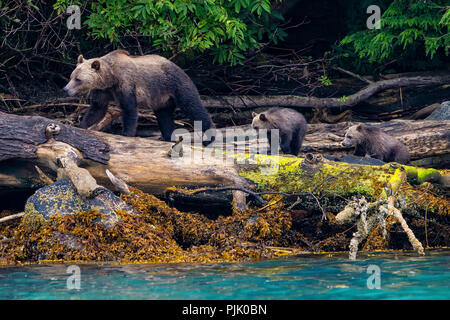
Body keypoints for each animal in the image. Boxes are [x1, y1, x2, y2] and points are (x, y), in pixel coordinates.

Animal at [62, 48, 214, 144]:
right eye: (71, 76)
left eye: (78, 79)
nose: (65, 89)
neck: (110, 78)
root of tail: (179, 67)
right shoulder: (103, 91)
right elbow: (97, 109)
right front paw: (82, 126)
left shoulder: (126, 84)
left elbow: (129, 109)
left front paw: (126, 134)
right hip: (162, 99)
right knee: (164, 116)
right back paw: (168, 137)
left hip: (175, 84)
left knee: (192, 106)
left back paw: (209, 137)